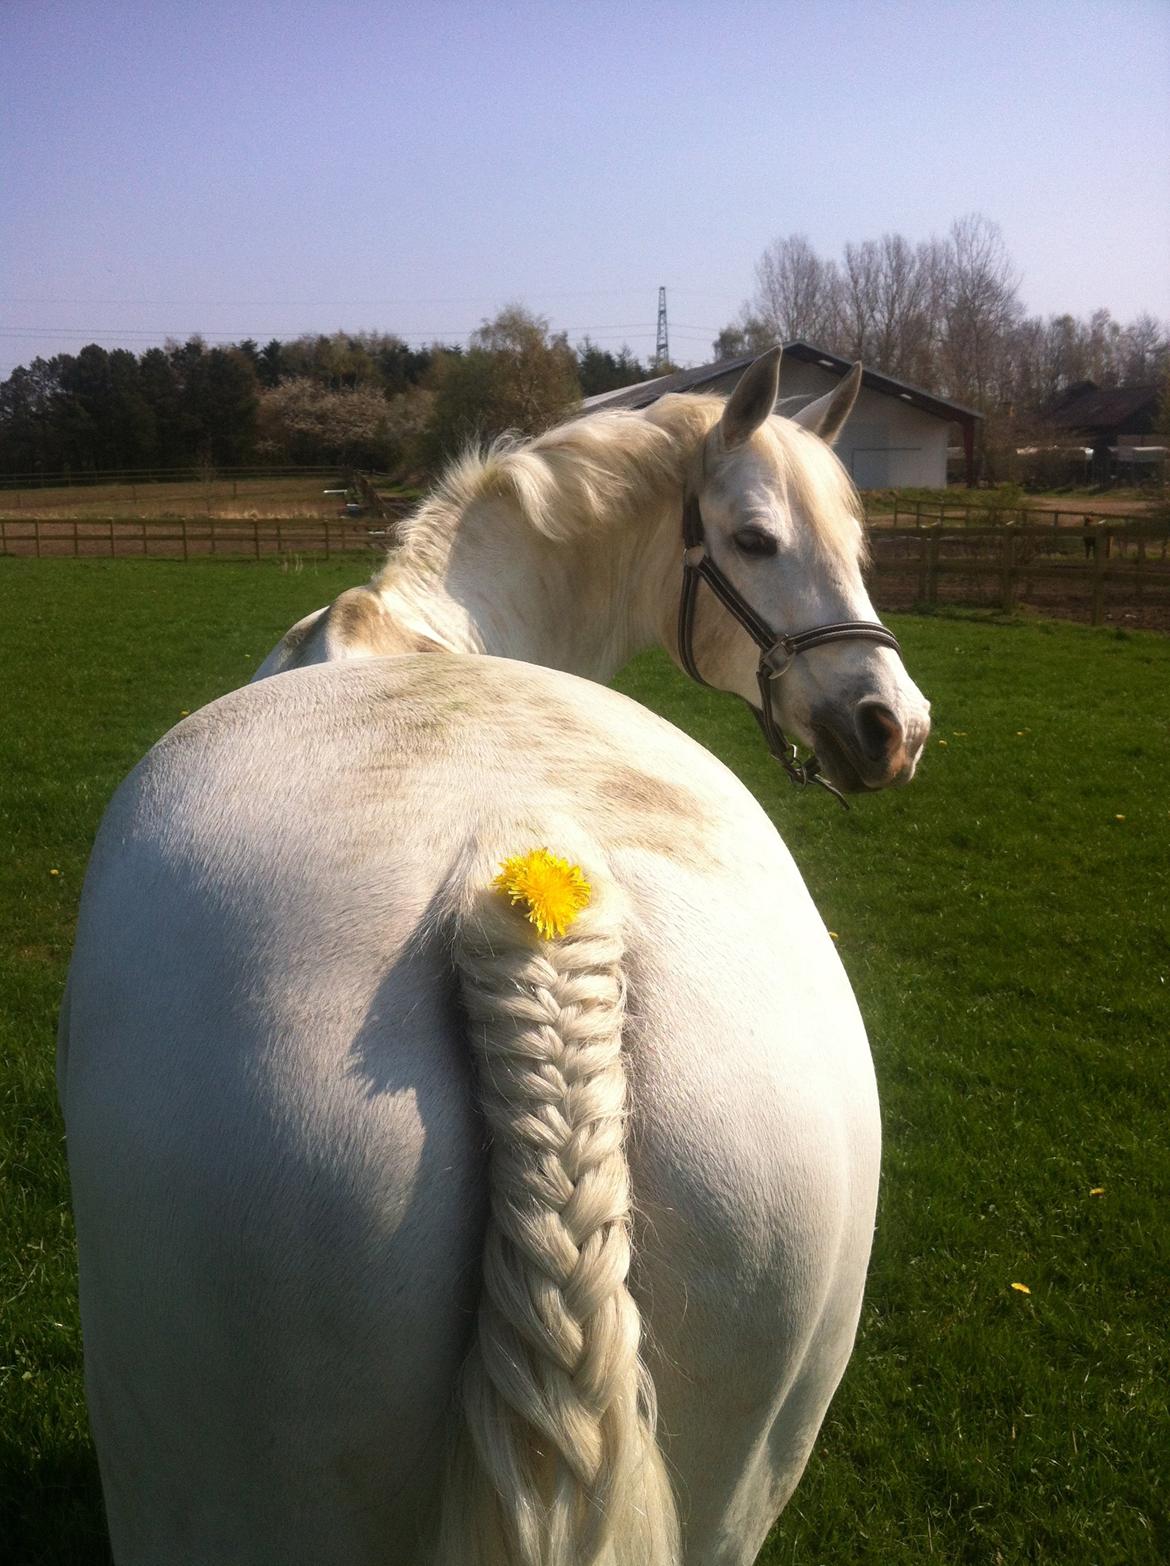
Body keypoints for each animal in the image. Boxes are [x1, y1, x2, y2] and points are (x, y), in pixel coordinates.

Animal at [59, 355, 933, 1566]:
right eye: (756, 540)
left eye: (858, 545)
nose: (893, 727)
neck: (416, 630)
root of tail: (521, 854)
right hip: (737, 1486)